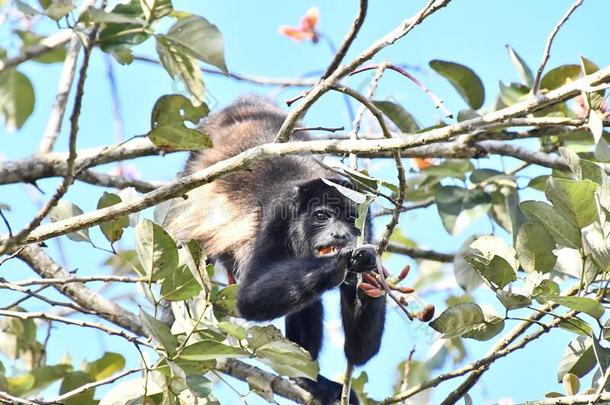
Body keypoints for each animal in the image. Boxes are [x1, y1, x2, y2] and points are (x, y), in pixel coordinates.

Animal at [166, 96, 384, 402]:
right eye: (321, 216)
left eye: (352, 219)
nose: (340, 235)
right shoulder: (276, 217)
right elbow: (250, 298)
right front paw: (341, 261)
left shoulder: (369, 227)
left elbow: (360, 351)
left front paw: (366, 262)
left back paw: (310, 380)